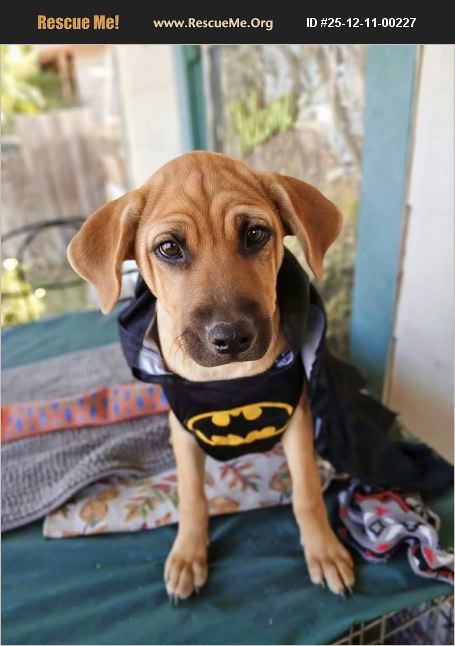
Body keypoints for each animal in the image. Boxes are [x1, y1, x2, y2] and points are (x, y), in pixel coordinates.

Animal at [67, 151, 354, 601]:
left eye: (255, 234)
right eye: (169, 248)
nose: (232, 337)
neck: (230, 379)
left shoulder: (297, 414)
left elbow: (306, 491)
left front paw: (323, 550)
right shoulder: (184, 430)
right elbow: (191, 497)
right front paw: (189, 553)